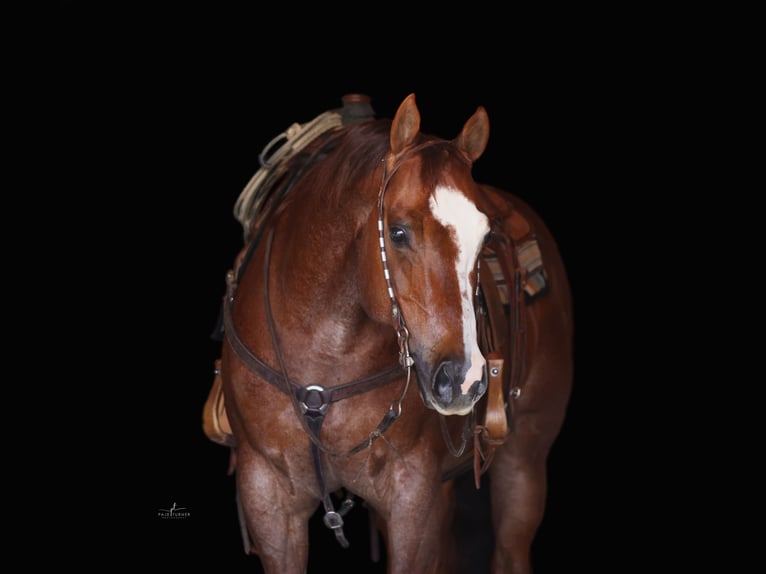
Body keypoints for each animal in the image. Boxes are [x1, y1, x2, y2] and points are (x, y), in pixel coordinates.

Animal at [204, 93, 573, 573]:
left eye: (483, 237)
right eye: (396, 232)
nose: (464, 380)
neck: (324, 358)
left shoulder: (412, 497)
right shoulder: (267, 497)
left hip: (524, 458)